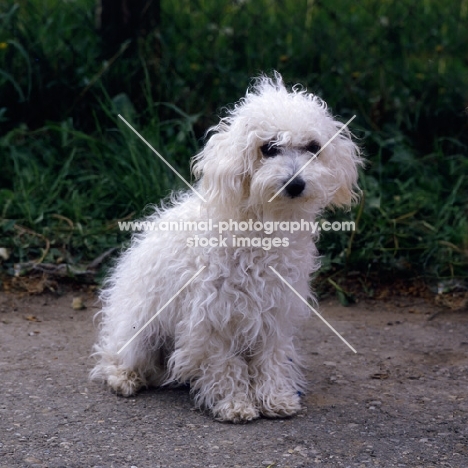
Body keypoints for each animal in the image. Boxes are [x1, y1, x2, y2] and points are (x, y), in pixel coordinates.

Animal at [90, 73, 362, 424]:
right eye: (268, 147)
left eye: (314, 148)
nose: (295, 183)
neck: (261, 229)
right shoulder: (211, 315)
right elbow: (224, 364)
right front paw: (234, 403)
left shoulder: (273, 313)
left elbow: (270, 359)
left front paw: (275, 398)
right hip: (141, 328)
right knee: (115, 355)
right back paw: (124, 377)